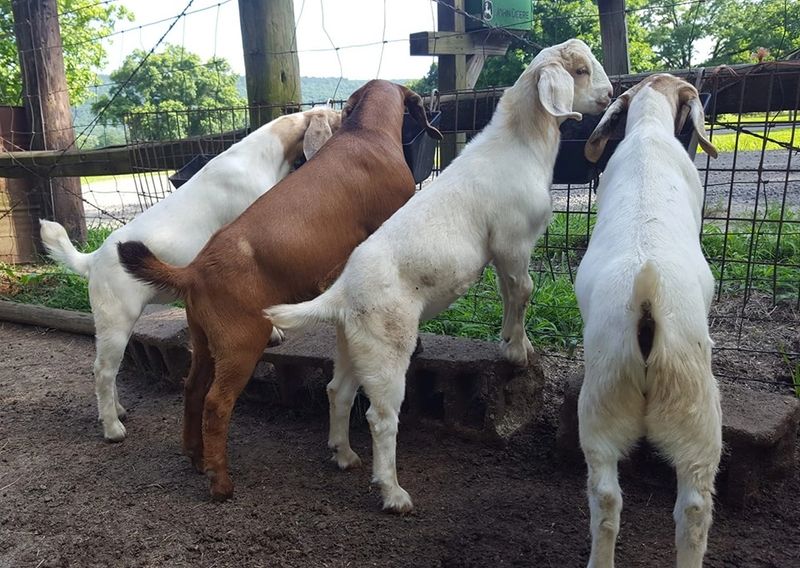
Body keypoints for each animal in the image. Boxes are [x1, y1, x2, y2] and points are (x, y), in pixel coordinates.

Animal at [39, 106, 340, 442]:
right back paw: (113, 428)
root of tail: (93, 260)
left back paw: (117, 411)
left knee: (107, 368)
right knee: (102, 370)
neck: (263, 155)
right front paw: (273, 332)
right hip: (116, 317)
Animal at [117, 80, 442, 501]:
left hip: (206, 342)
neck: (365, 133)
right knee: (216, 404)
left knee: (192, 389)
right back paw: (220, 481)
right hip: (241, 345)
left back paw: (195, 456)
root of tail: (194, 271)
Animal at [265, 39, 612, 513]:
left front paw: (512, 342)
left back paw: (344, 455)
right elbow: (523, 290)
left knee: (338, 391)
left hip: (357, 344)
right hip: (388, 344)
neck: (520, 146)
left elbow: (508, 293)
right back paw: (392, 491)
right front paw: (518, 352)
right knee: (380, 415)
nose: (610, 95)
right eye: (579, 70)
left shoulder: (501, 250)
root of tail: (340, 295)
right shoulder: (513, 240)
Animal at [576, 74, 721, 567]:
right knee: (694, 508)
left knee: (605, 498)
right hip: (696, 407)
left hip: (602, 399)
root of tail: (646, 295)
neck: (648, 132)